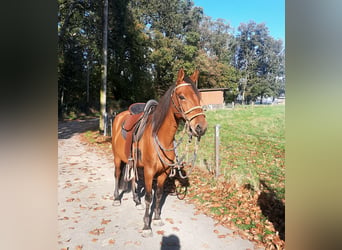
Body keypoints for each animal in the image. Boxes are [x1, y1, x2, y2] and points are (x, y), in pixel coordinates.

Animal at [111, 68, 207, 236]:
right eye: (182, 96)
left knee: (133, 179)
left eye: (199, 97)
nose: (201, 127)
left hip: (132, 162)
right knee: (117, 175)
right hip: (117, 158)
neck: (159, 136)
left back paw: (136, 201)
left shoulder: (163, 173)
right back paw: (117, 199)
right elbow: (149, 197)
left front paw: (156, 219)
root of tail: (119, 116)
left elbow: (159, 195)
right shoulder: (149, 172)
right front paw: (146, 226)